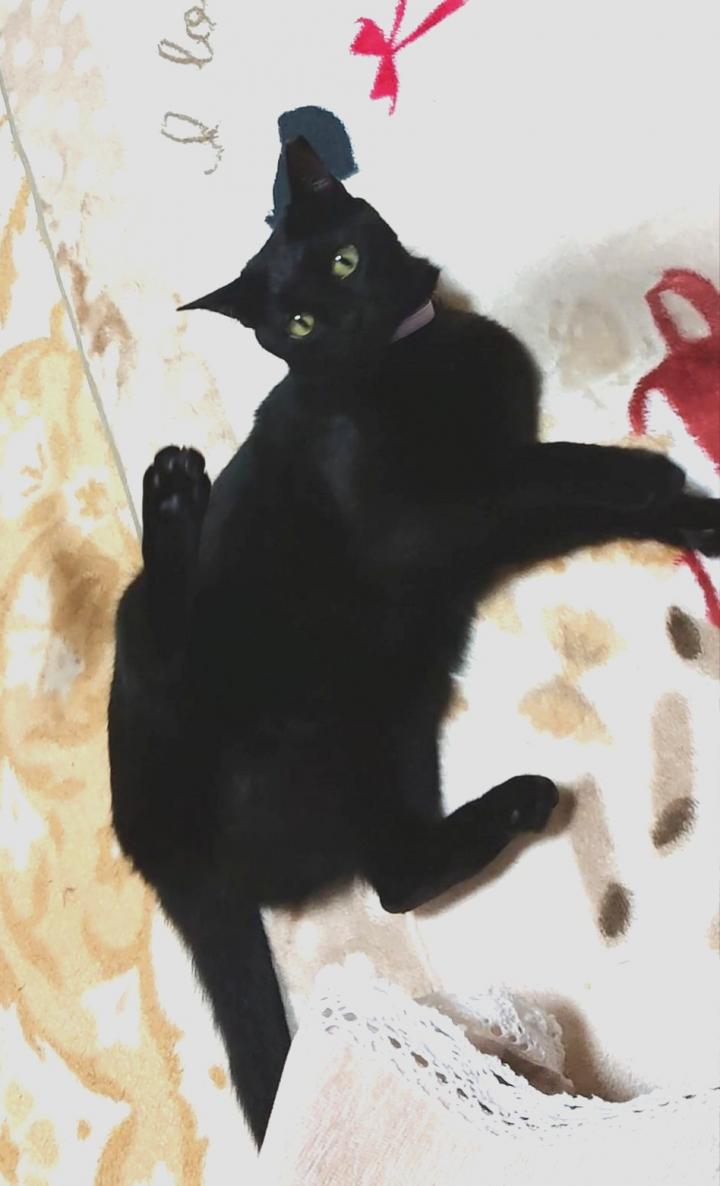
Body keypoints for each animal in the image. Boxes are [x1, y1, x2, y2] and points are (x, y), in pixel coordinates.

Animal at [108, 136, 720, 1145]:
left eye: (344, 263)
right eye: (300, 323)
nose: (348, 316)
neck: (412, 355)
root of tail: (164, 856)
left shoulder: (482, 527)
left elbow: (561, 496)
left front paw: (696, 514)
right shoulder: (425, 515)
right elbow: (548, 472)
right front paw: (649, 474)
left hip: (388, 723)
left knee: (397, 871)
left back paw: (520, 803)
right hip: (239, 687)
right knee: (167, 620)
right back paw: (174, 502)